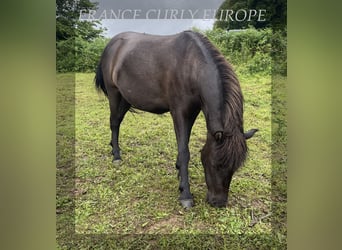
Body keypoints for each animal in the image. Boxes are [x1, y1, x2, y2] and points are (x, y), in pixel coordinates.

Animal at [94, 30, 256, 208]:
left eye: (235, 167)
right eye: (216, 164)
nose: (218, 202)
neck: (192, 65)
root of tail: (112, 44)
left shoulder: (192, 112)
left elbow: (184, 145)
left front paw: (179, 171)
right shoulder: (179, 112)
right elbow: (184, 151)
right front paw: (185, 194)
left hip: (125, 98)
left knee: (117, 121)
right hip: (114, 95)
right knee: (114, 123)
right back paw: (116, 156)